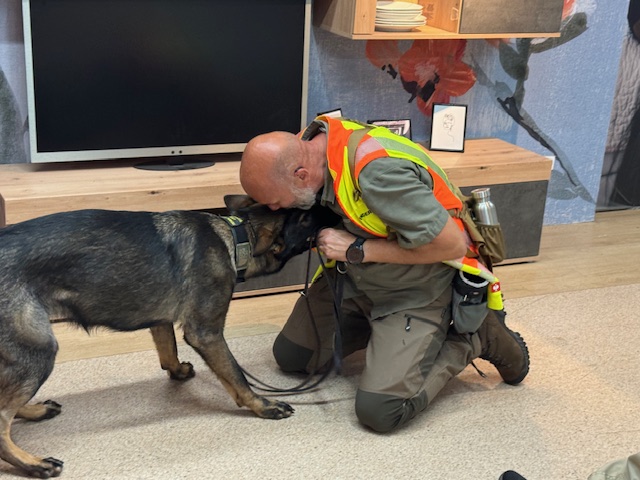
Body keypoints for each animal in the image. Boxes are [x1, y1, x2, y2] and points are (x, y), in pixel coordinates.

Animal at [0, 194, 339, 478]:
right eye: (306, 216)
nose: (333, 210)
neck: (235, 234)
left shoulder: (161, 320)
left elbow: (168, 349)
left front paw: (176, 371)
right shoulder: (207, 333)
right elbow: (237, 376)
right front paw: (262, 405)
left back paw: (34, 411)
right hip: (39, 350)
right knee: (2, 419)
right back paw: (34, 463)